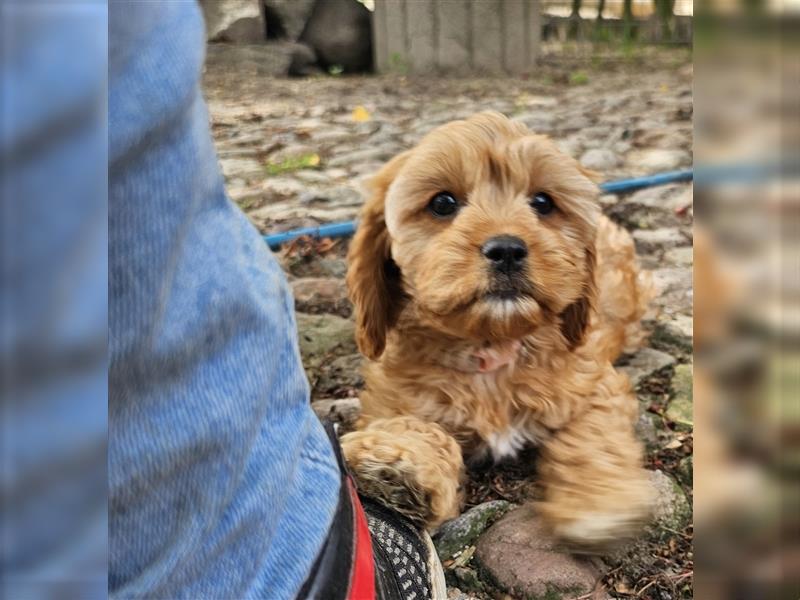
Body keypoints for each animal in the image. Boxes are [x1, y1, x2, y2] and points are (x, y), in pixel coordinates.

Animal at [340, 111, 652, 548]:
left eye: (543, 202)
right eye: (442, 203)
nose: (506, 249)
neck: (492, 343)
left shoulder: (595, 380)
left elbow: (595, 431)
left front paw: (601, 497)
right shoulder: (394, 398)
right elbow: (412, 423)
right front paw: (398, 464)